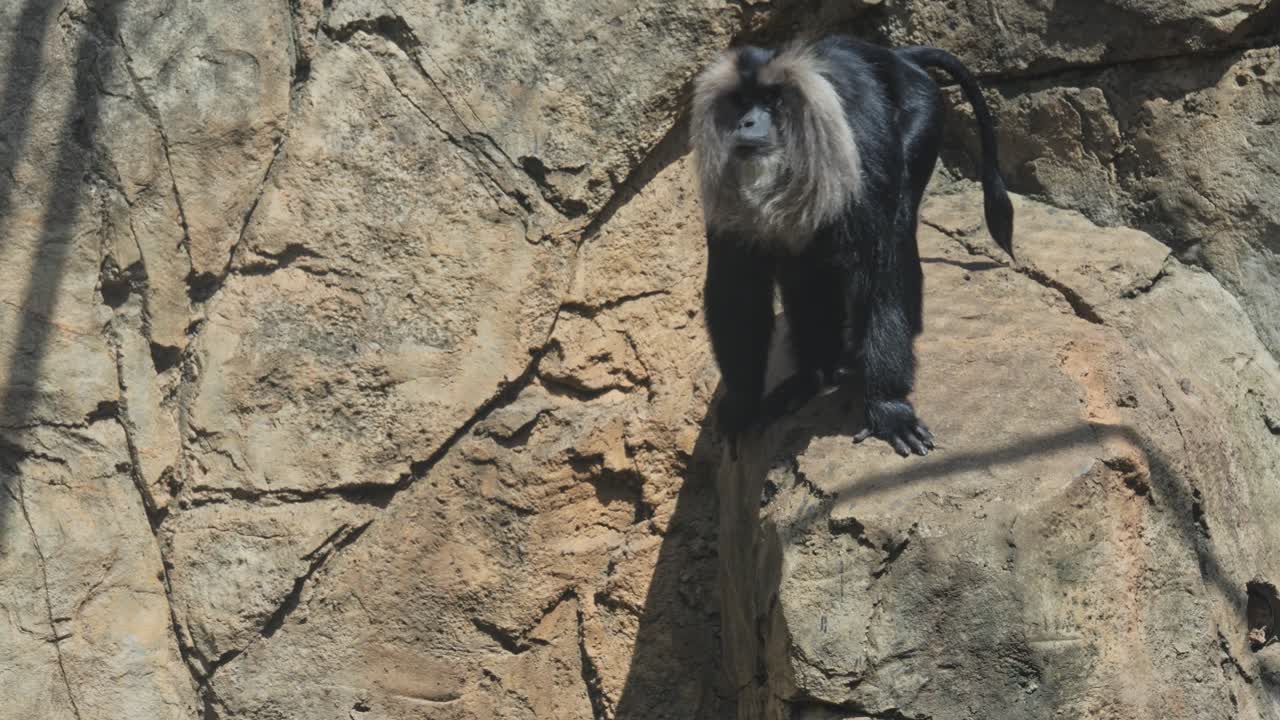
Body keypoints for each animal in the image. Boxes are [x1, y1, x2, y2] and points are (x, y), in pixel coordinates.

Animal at [690, 36, 1014, 457]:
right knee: (806, 276)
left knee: (900, 221)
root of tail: (901, 57)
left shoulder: (860, 163)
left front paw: (888, 407)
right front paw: (743, 404)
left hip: (925, 112)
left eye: (772, 100)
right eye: (742, 101)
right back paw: (814, 375)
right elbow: (737, 291)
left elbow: (880, 271)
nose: (746, 124)